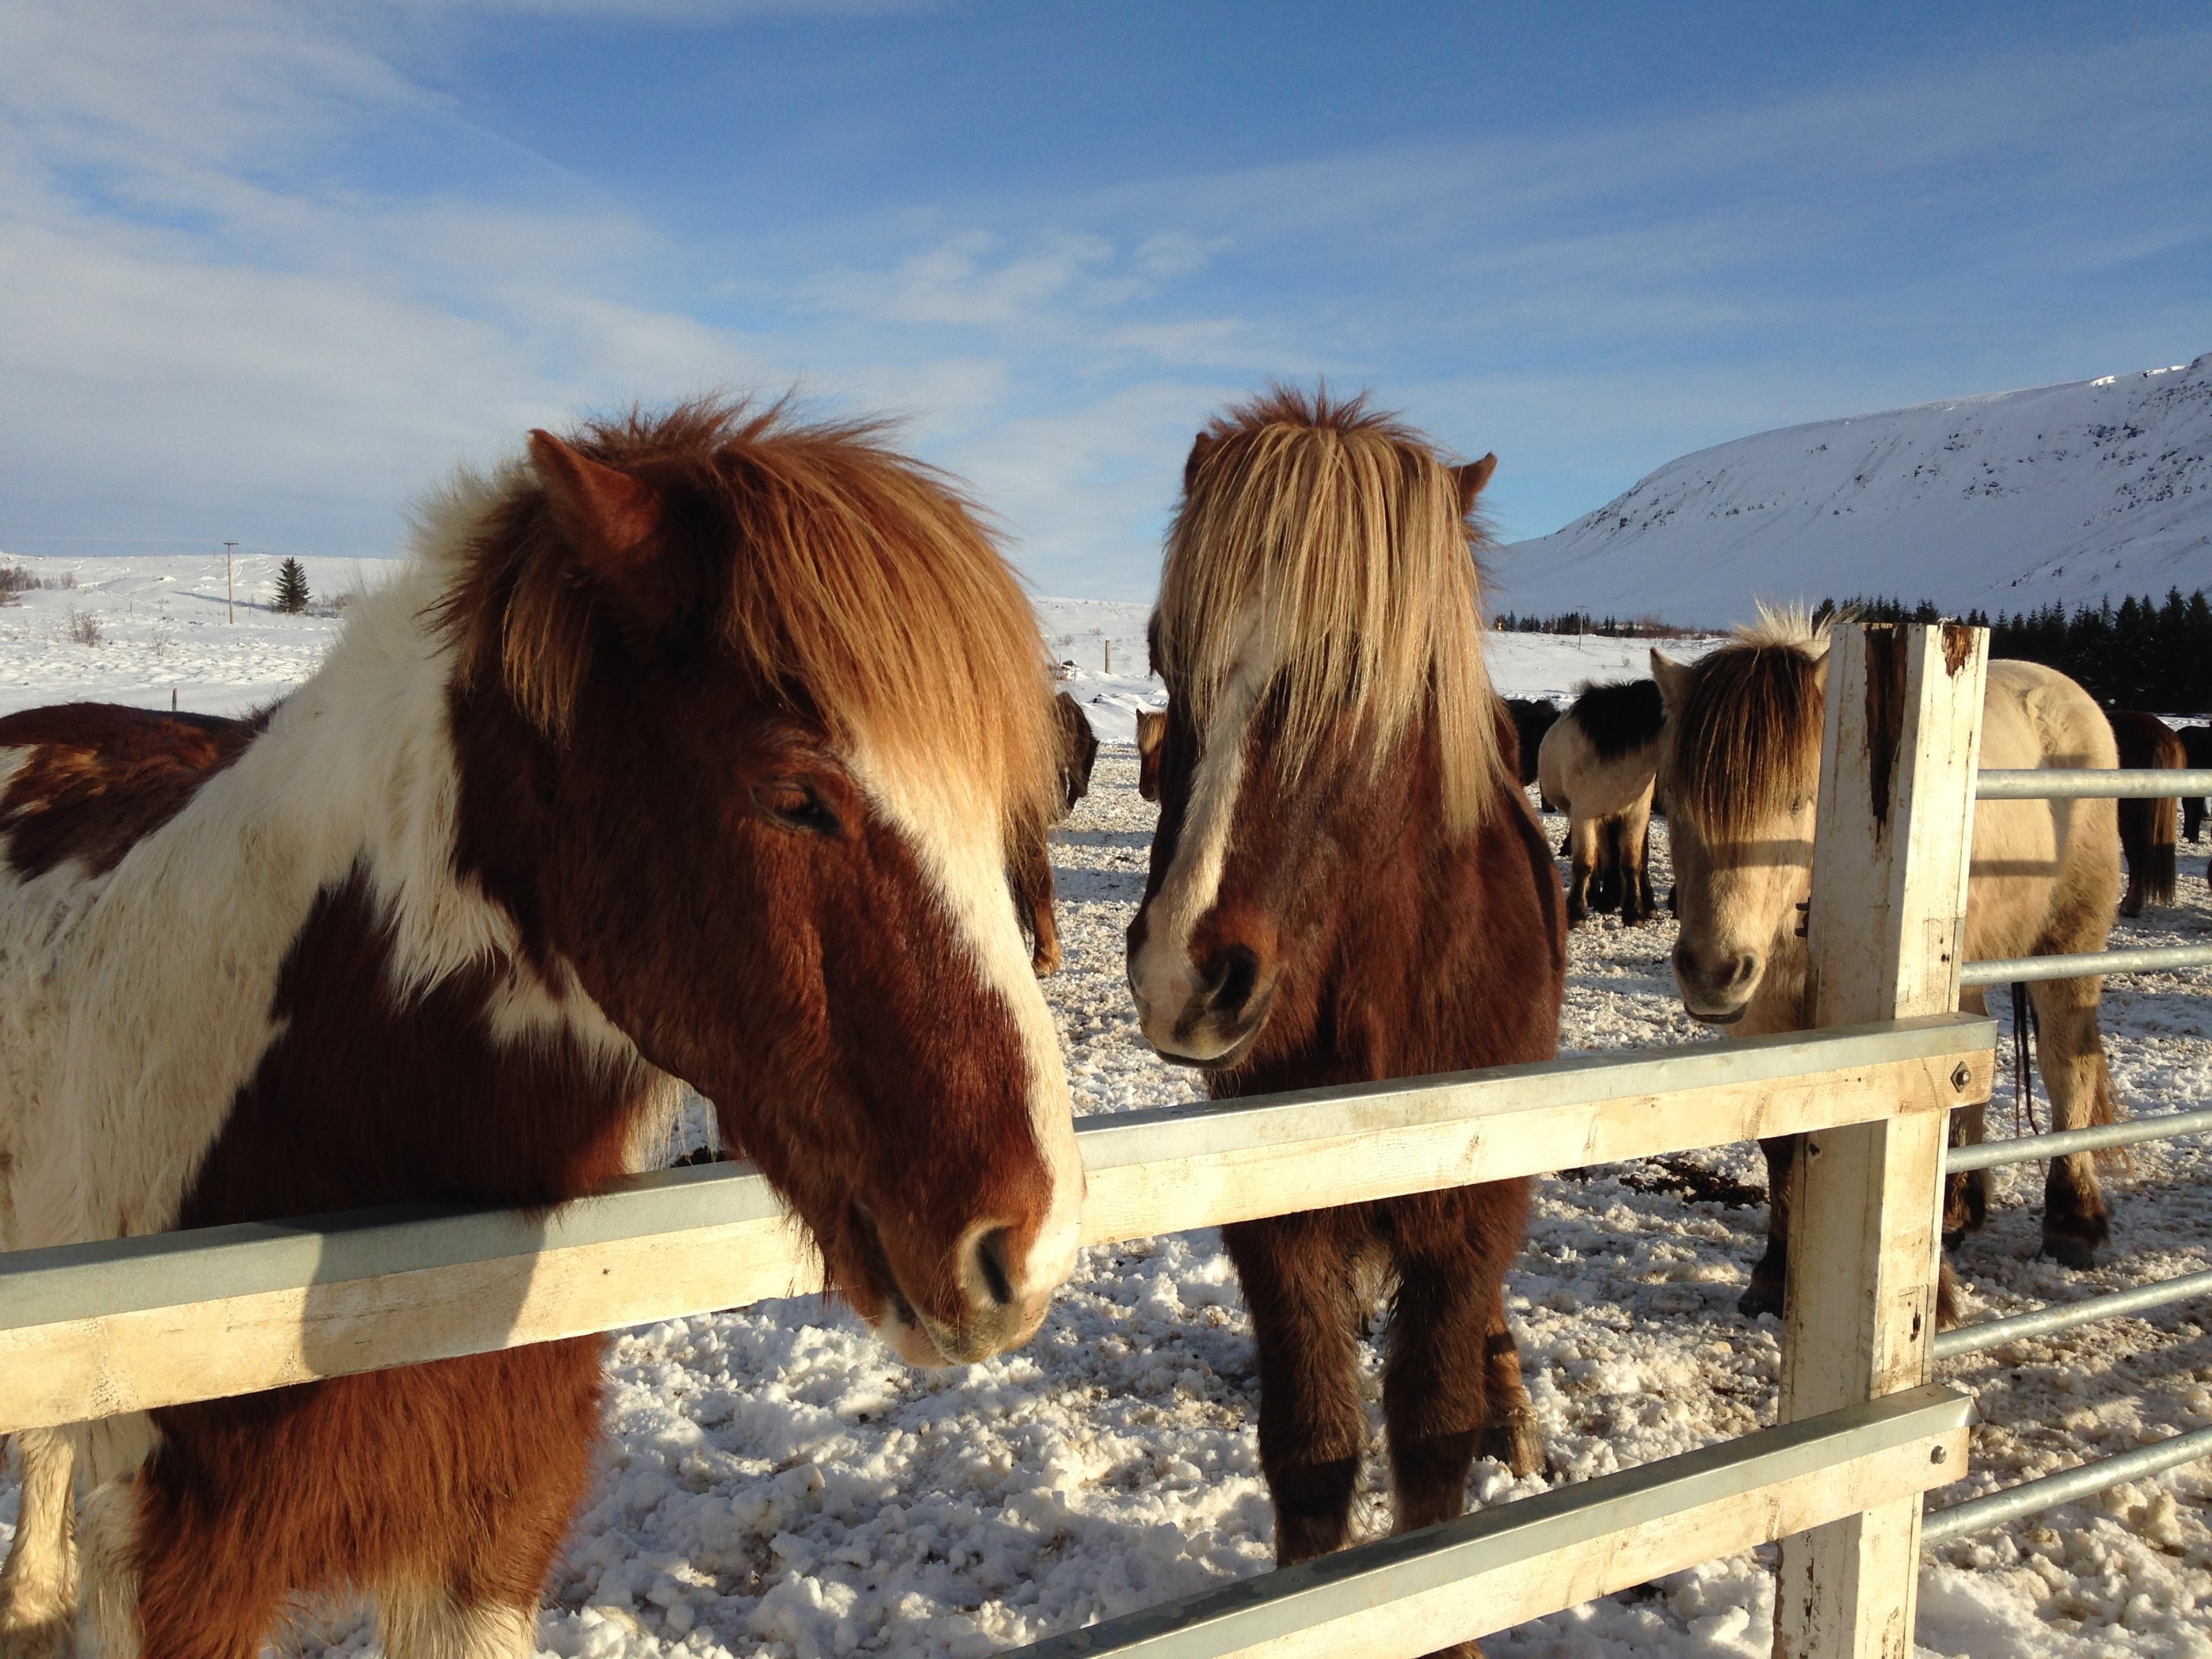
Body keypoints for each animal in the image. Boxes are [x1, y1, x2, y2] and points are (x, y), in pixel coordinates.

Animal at [1125, 390, 1563, 1653]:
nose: (1182, 975)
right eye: (1164, 652)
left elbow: (1432, 1437)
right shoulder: (1278, 1224)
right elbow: (1313, 1448)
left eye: (1358, 671)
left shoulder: (1470, 1211)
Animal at [1534, 679, 1664, 924]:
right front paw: (1576, 912)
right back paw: (1597, 896)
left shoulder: (1636, 815)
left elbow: (1631, 863)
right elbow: (1584, 863)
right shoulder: (1585, 815)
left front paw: (1633, 913)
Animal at [1653, 608, 2123, 1319]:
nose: (1712, 973)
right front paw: (1774, 1274)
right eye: (1675, 799)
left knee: (2069, 1061)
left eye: (1799, 800)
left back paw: (2073, 1220)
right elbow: (1782, 1137)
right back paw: (1956, 1211)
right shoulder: (1763, 1014)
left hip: (2069, 942)